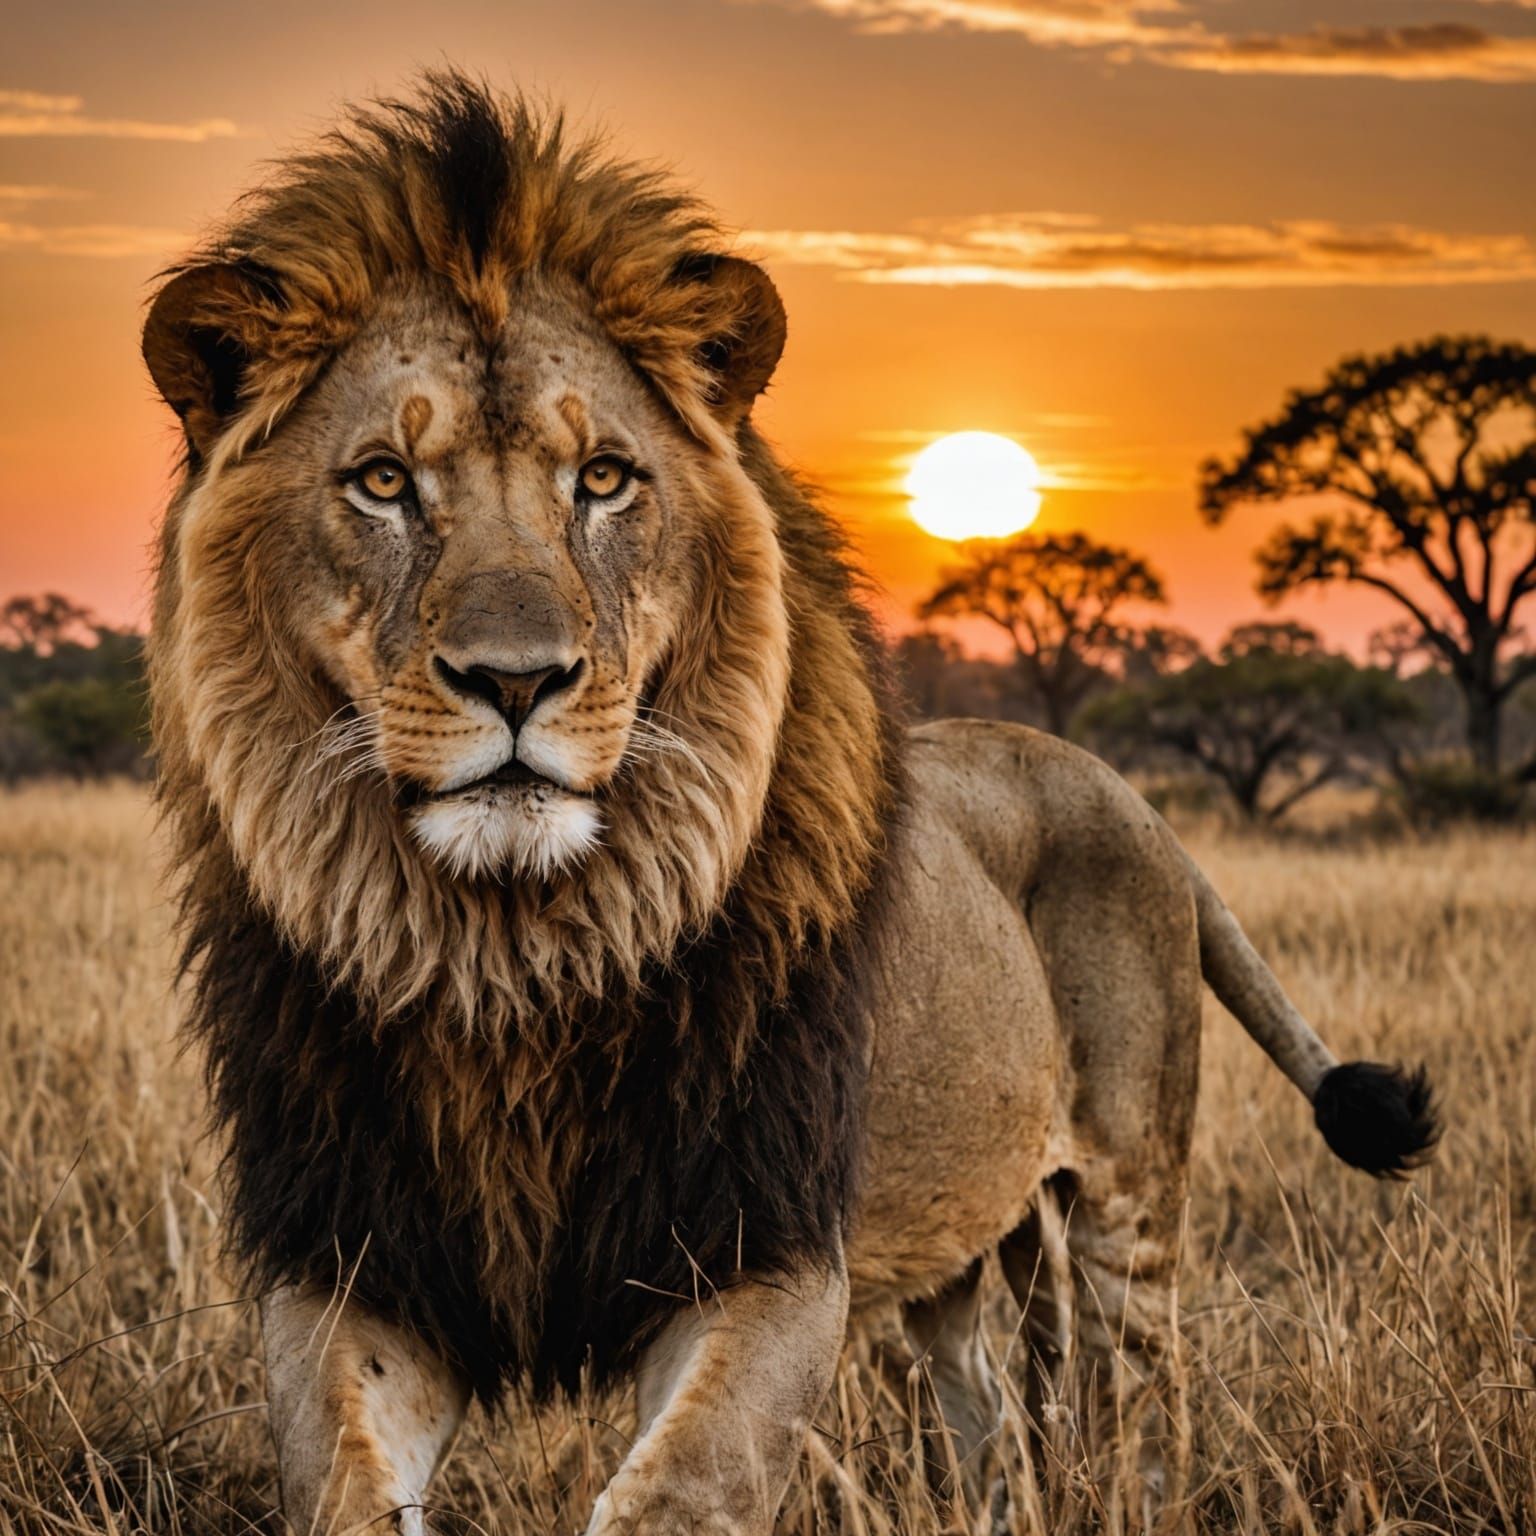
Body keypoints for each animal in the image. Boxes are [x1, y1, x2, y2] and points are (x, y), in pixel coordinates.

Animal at [141, 74, 1437, 1536]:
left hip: (1125, 1189)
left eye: (604, 479)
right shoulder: (352, 1264)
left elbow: (671, 1492)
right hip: (963, 1231)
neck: (514, 958)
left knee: (1137, 1410)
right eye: (380, 481)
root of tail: (1114, 783)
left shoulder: (770, 1253)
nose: (517, 680)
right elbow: (345, 1490)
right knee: (994, 1414)